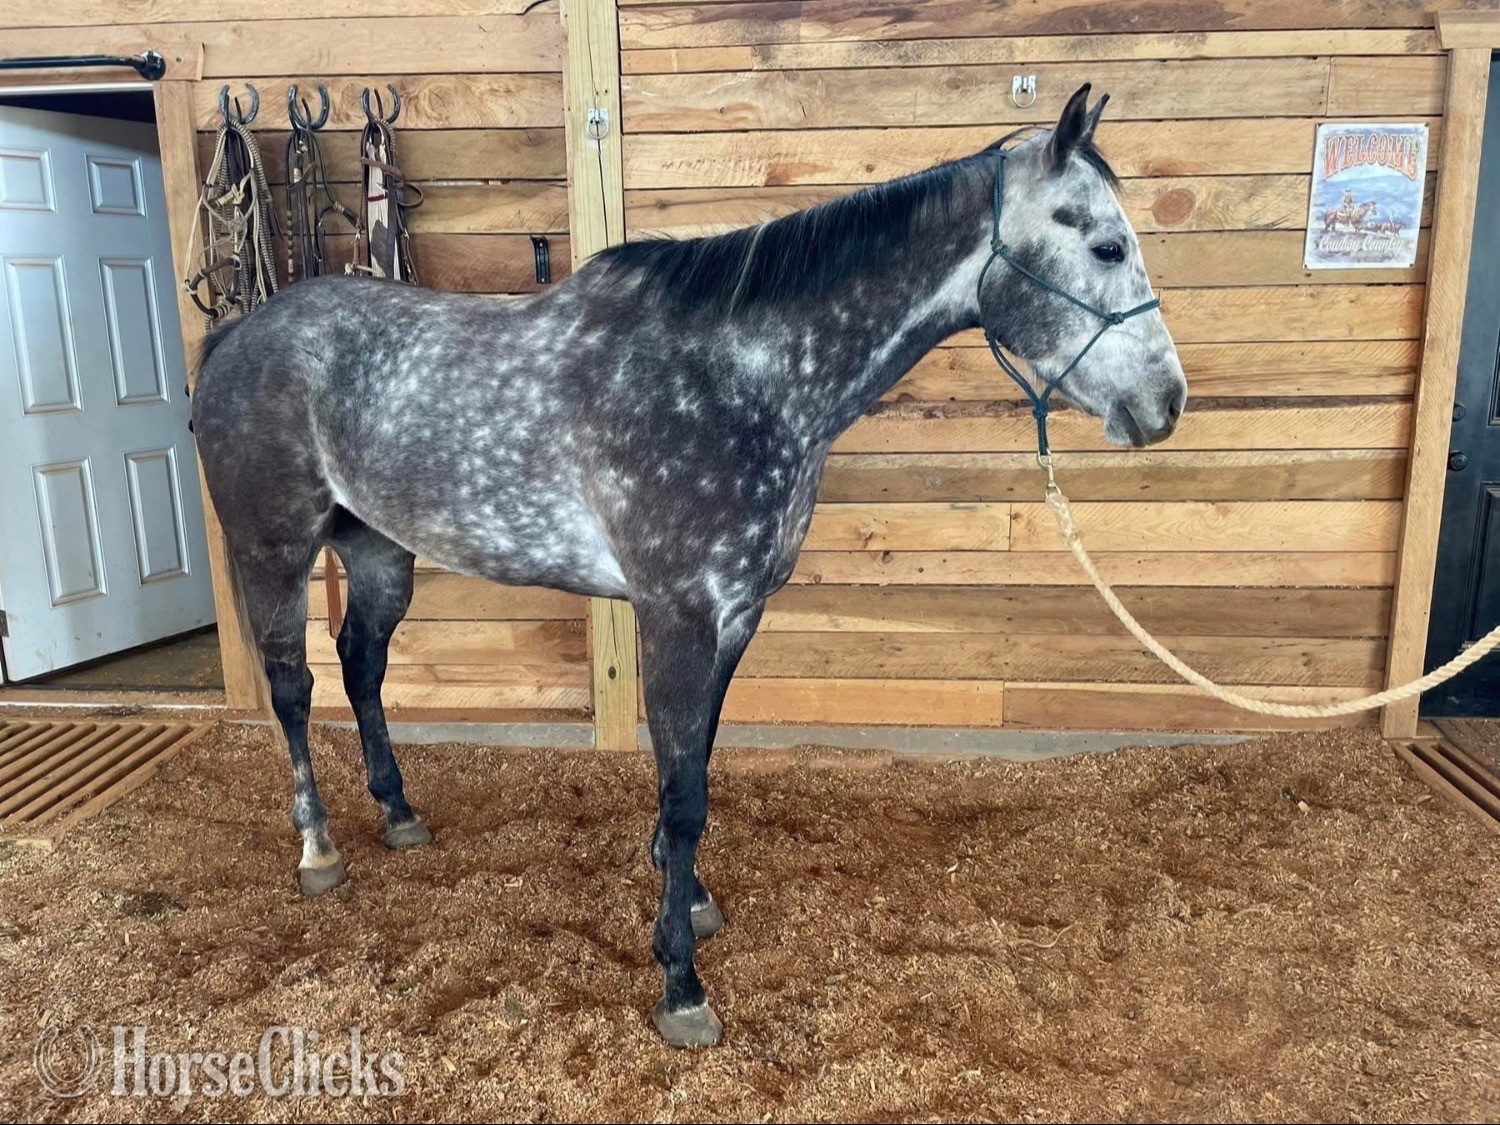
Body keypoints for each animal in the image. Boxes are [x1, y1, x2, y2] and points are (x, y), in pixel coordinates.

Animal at [190, 83, 1187, 1048]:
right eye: (1106, 244)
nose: (1166, 403)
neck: (740, 380)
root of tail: (235, 337)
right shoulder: (676, 610)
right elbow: (682, 792)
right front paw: (680, 983)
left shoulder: (736, 613)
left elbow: (696, 762)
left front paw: (690, 902)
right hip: (275, 549)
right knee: (293, 687)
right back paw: (319, 849)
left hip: (378, 550)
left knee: (361, 665)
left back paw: (399, 815)